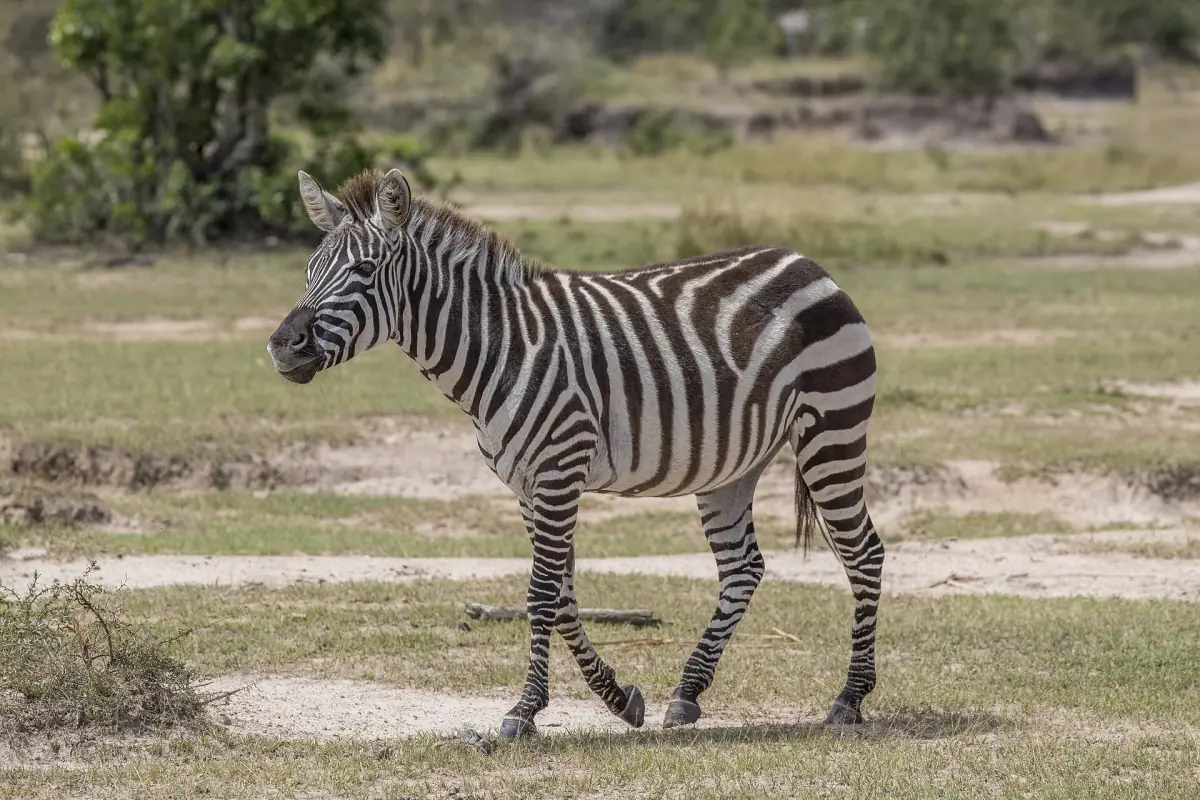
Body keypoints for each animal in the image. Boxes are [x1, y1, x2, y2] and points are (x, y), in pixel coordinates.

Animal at [267, 168, 885, 738]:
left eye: (364, 272)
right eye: (309, 272)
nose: (281, 346)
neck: (501, 347)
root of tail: (806, 262)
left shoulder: (559, 471)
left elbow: (541, 593)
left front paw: (523, 712)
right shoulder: (527, 485)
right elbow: (563, 596)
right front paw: (618, 698)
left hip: (832, 431)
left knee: (864, 554)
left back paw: (849, 699)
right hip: (730, 466)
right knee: (743, 568)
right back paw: (687, 693)